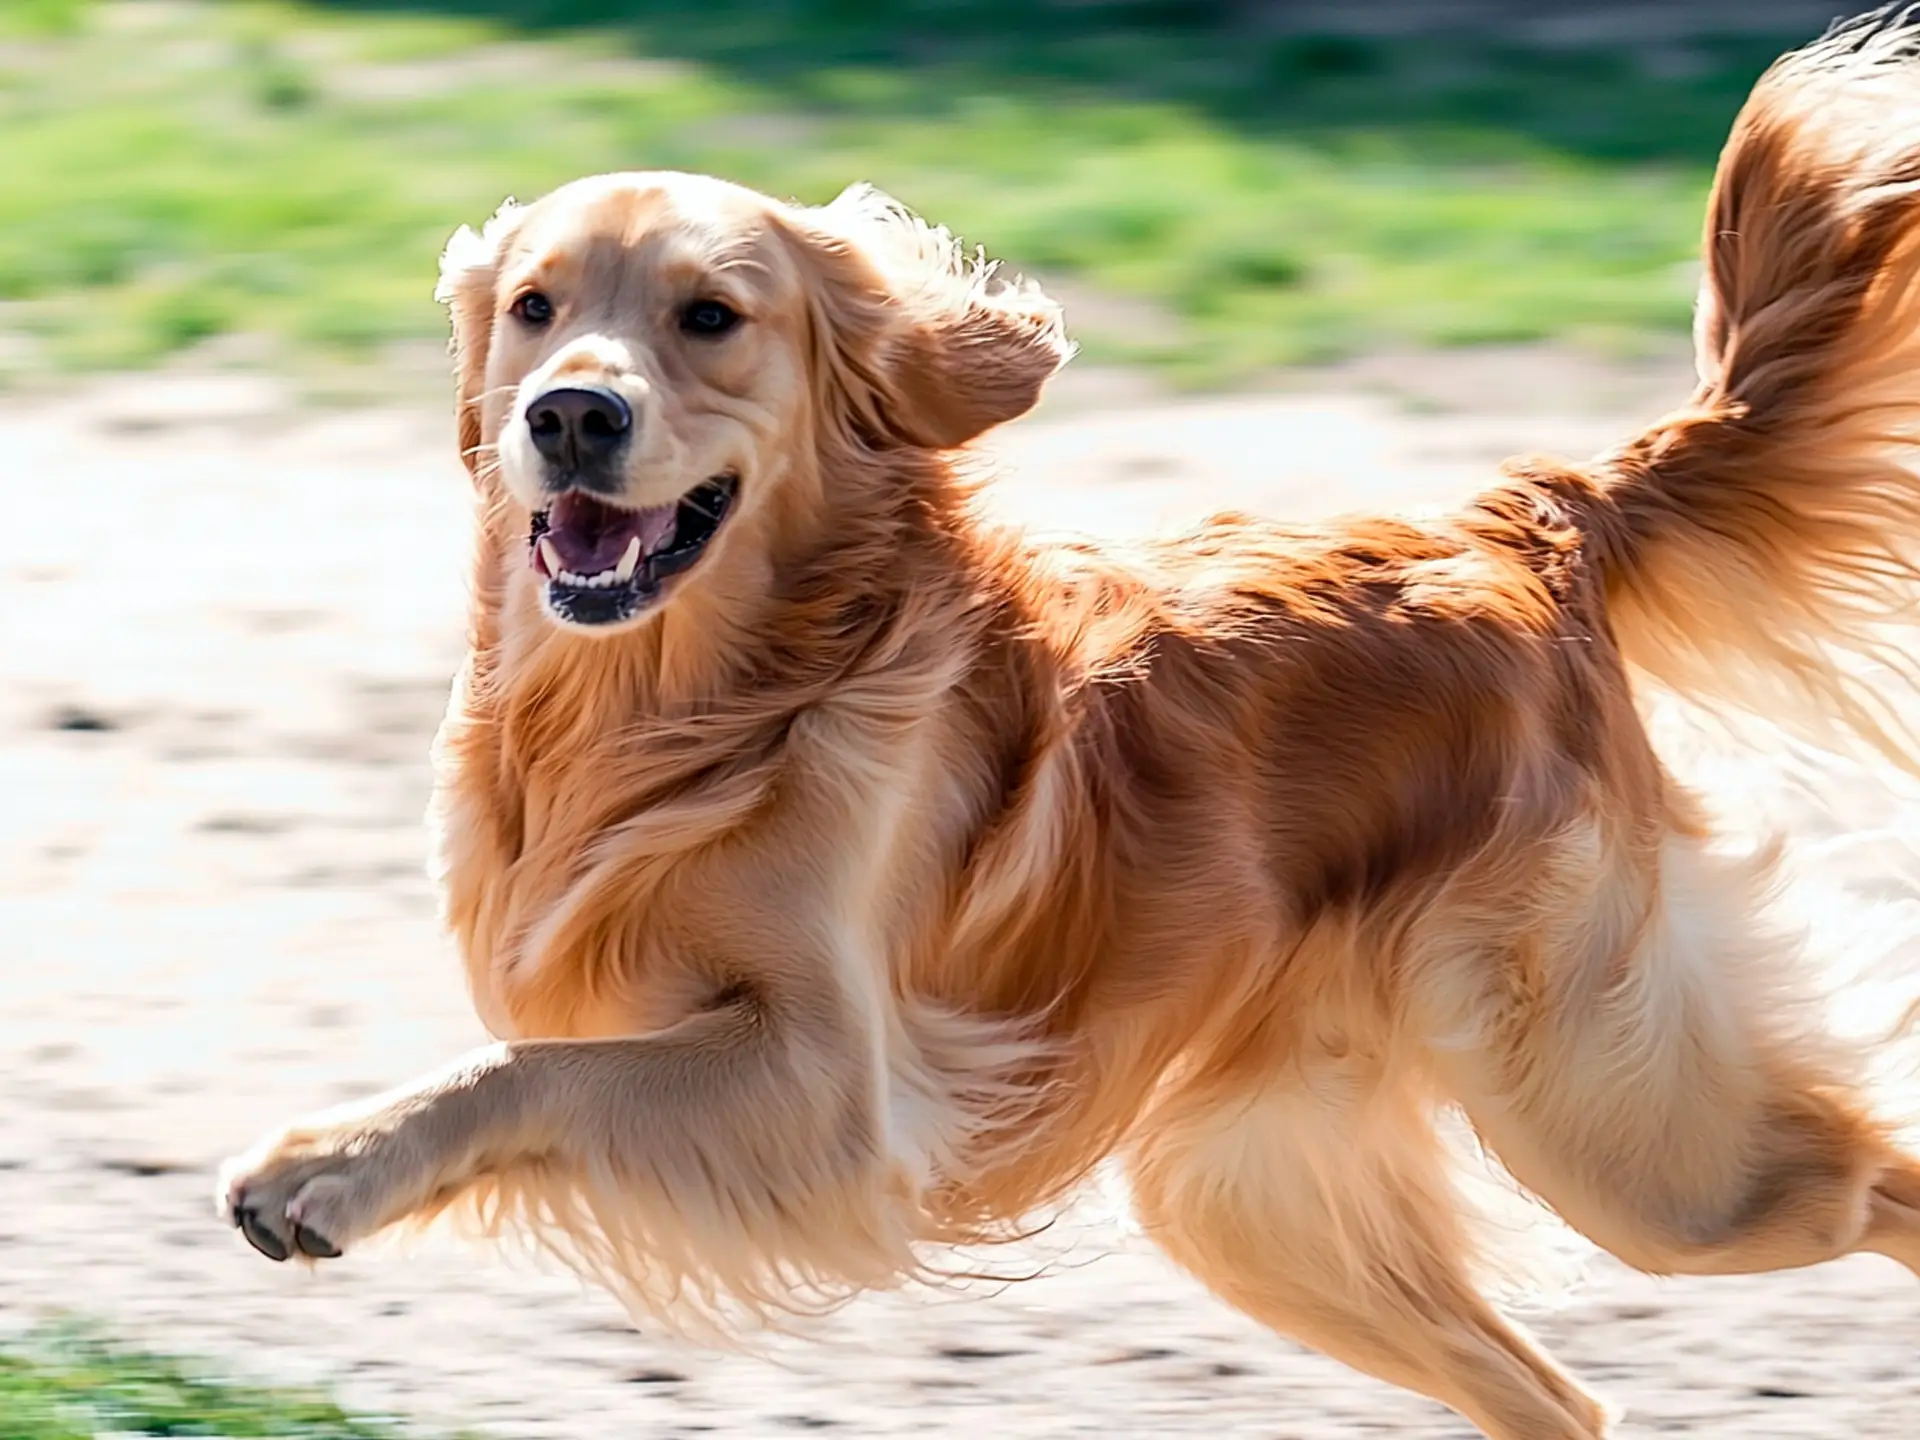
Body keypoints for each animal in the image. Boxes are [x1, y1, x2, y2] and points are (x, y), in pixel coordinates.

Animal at [224, 14, 1920, 1440]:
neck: (697, 710)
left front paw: (325, 1167)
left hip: (1630, 1140)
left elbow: (527, 1070)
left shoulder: (833, 1098)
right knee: (1559, 1398)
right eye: (535, 309)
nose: (572, 413)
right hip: (1251, 1200)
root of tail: (1526, 524)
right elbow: (529, 1057)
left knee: (1858, 1181)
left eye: (711, 315)